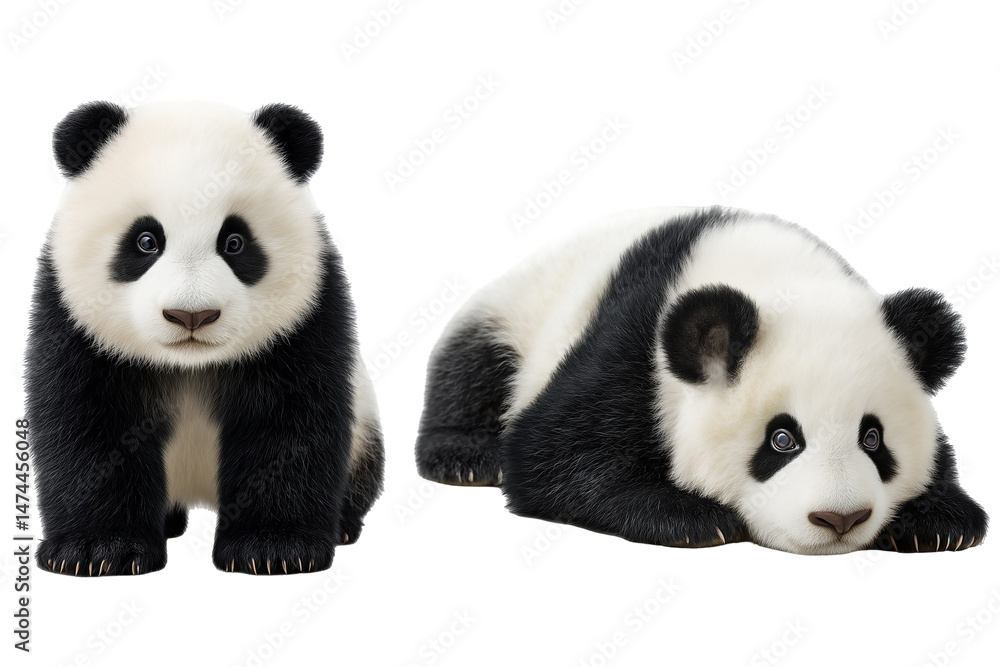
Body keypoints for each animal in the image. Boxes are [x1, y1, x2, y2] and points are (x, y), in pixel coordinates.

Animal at [26, 100, 384, 576]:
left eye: (234, 241)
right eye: (146, 240)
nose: (190, 315)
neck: (190, 365)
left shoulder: (307, 318)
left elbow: (288, 425)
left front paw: (273, 547)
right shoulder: (71, 321)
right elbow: (86, 425)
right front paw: (98, 549)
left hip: (364, 430)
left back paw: (342, 526)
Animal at [415, 206, 988, 555]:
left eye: (873, 438)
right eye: (782, 439)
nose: (840, 518)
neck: (775, 278)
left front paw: (940, 520)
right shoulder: (634, 345)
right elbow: (550, 454)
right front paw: (692, 516)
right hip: (515, 313)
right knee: (472, 370)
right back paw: (468, 456)